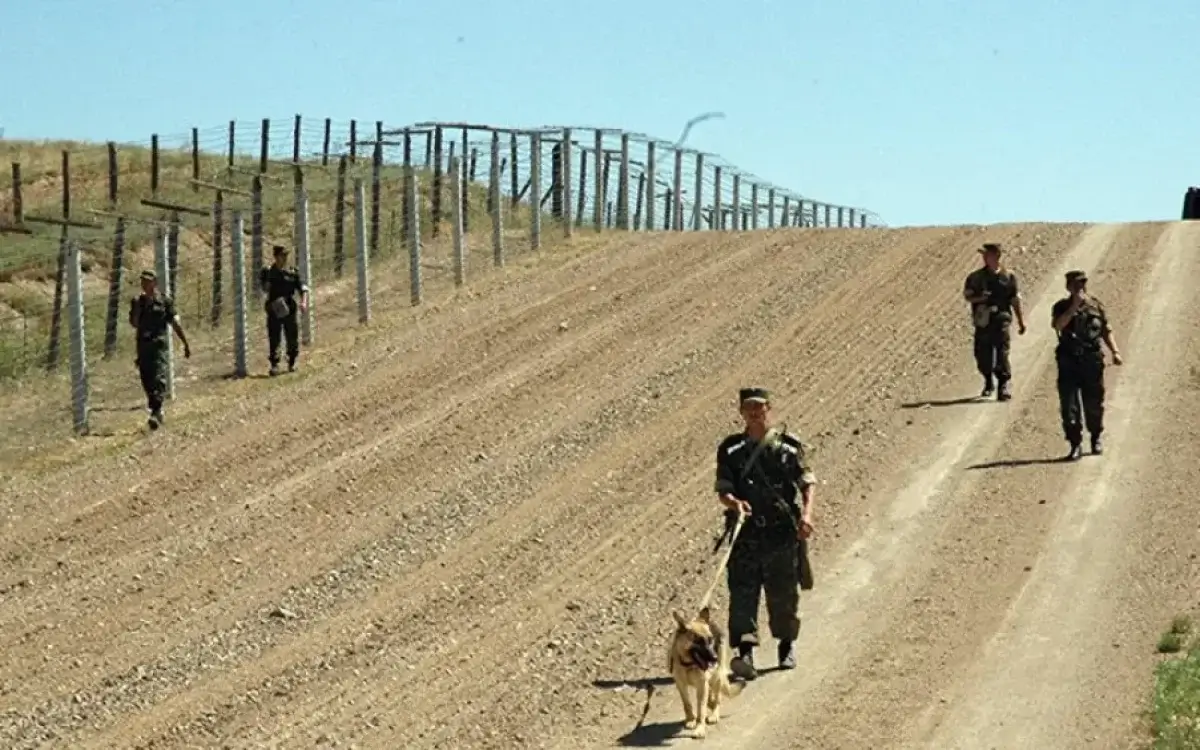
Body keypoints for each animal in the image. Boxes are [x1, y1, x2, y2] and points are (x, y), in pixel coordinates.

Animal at [667, 602, 739, 739]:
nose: (714, 658)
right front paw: (690, 719)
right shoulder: (681, 685)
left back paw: (714, 713)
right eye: (698, 641)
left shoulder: (701, 686)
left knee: (717, 698)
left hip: (717, 677)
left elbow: (701, 709)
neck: (688, 664)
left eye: (710, 639)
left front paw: (700, 728)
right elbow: (687, 704)